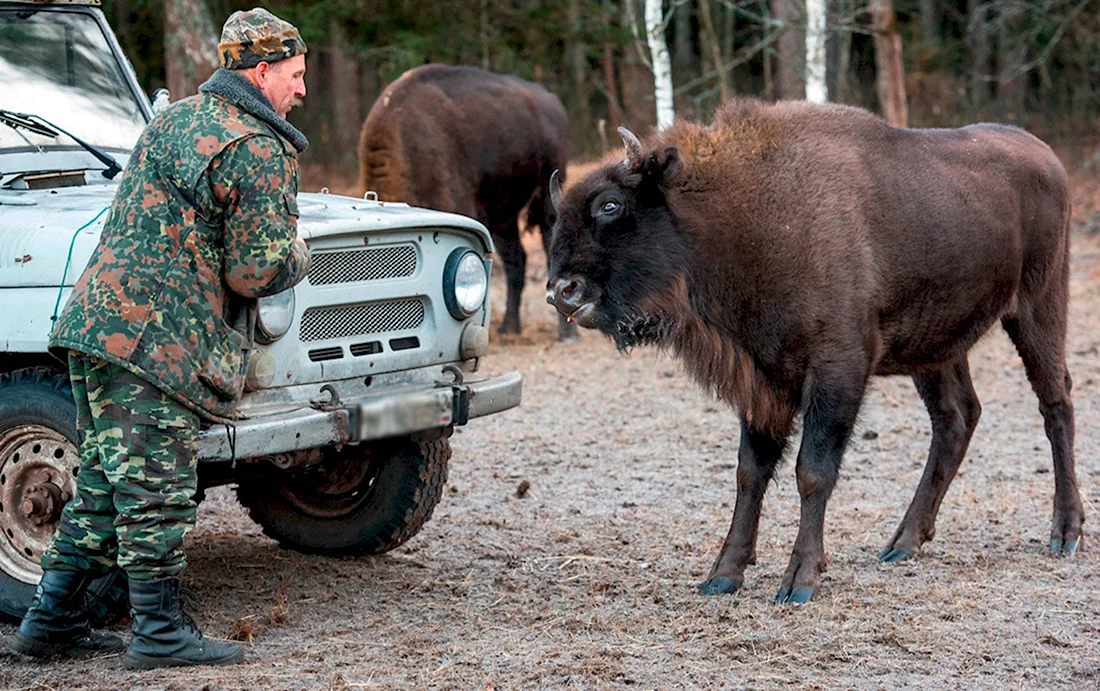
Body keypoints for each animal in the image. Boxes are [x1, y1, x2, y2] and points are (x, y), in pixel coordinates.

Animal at [358, 63, 580, 338]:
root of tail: (552, 102)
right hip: (504, 215)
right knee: (516, 260)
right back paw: (509, 327)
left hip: (547, 199)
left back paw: (567, 334)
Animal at [545, 100, 1078, 602]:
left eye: (610, 205)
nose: (561, 291)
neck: (735, 217)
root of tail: (1049, 157)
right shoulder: (763, 379)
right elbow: (750, 472)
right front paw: (723, 575)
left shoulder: (835, 371)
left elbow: (812, 472)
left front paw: (799, 581)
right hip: (937, 347)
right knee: (956, 418)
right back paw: (902, 542)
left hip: (1037, 307)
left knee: (1055, 403)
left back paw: (1066, 533)